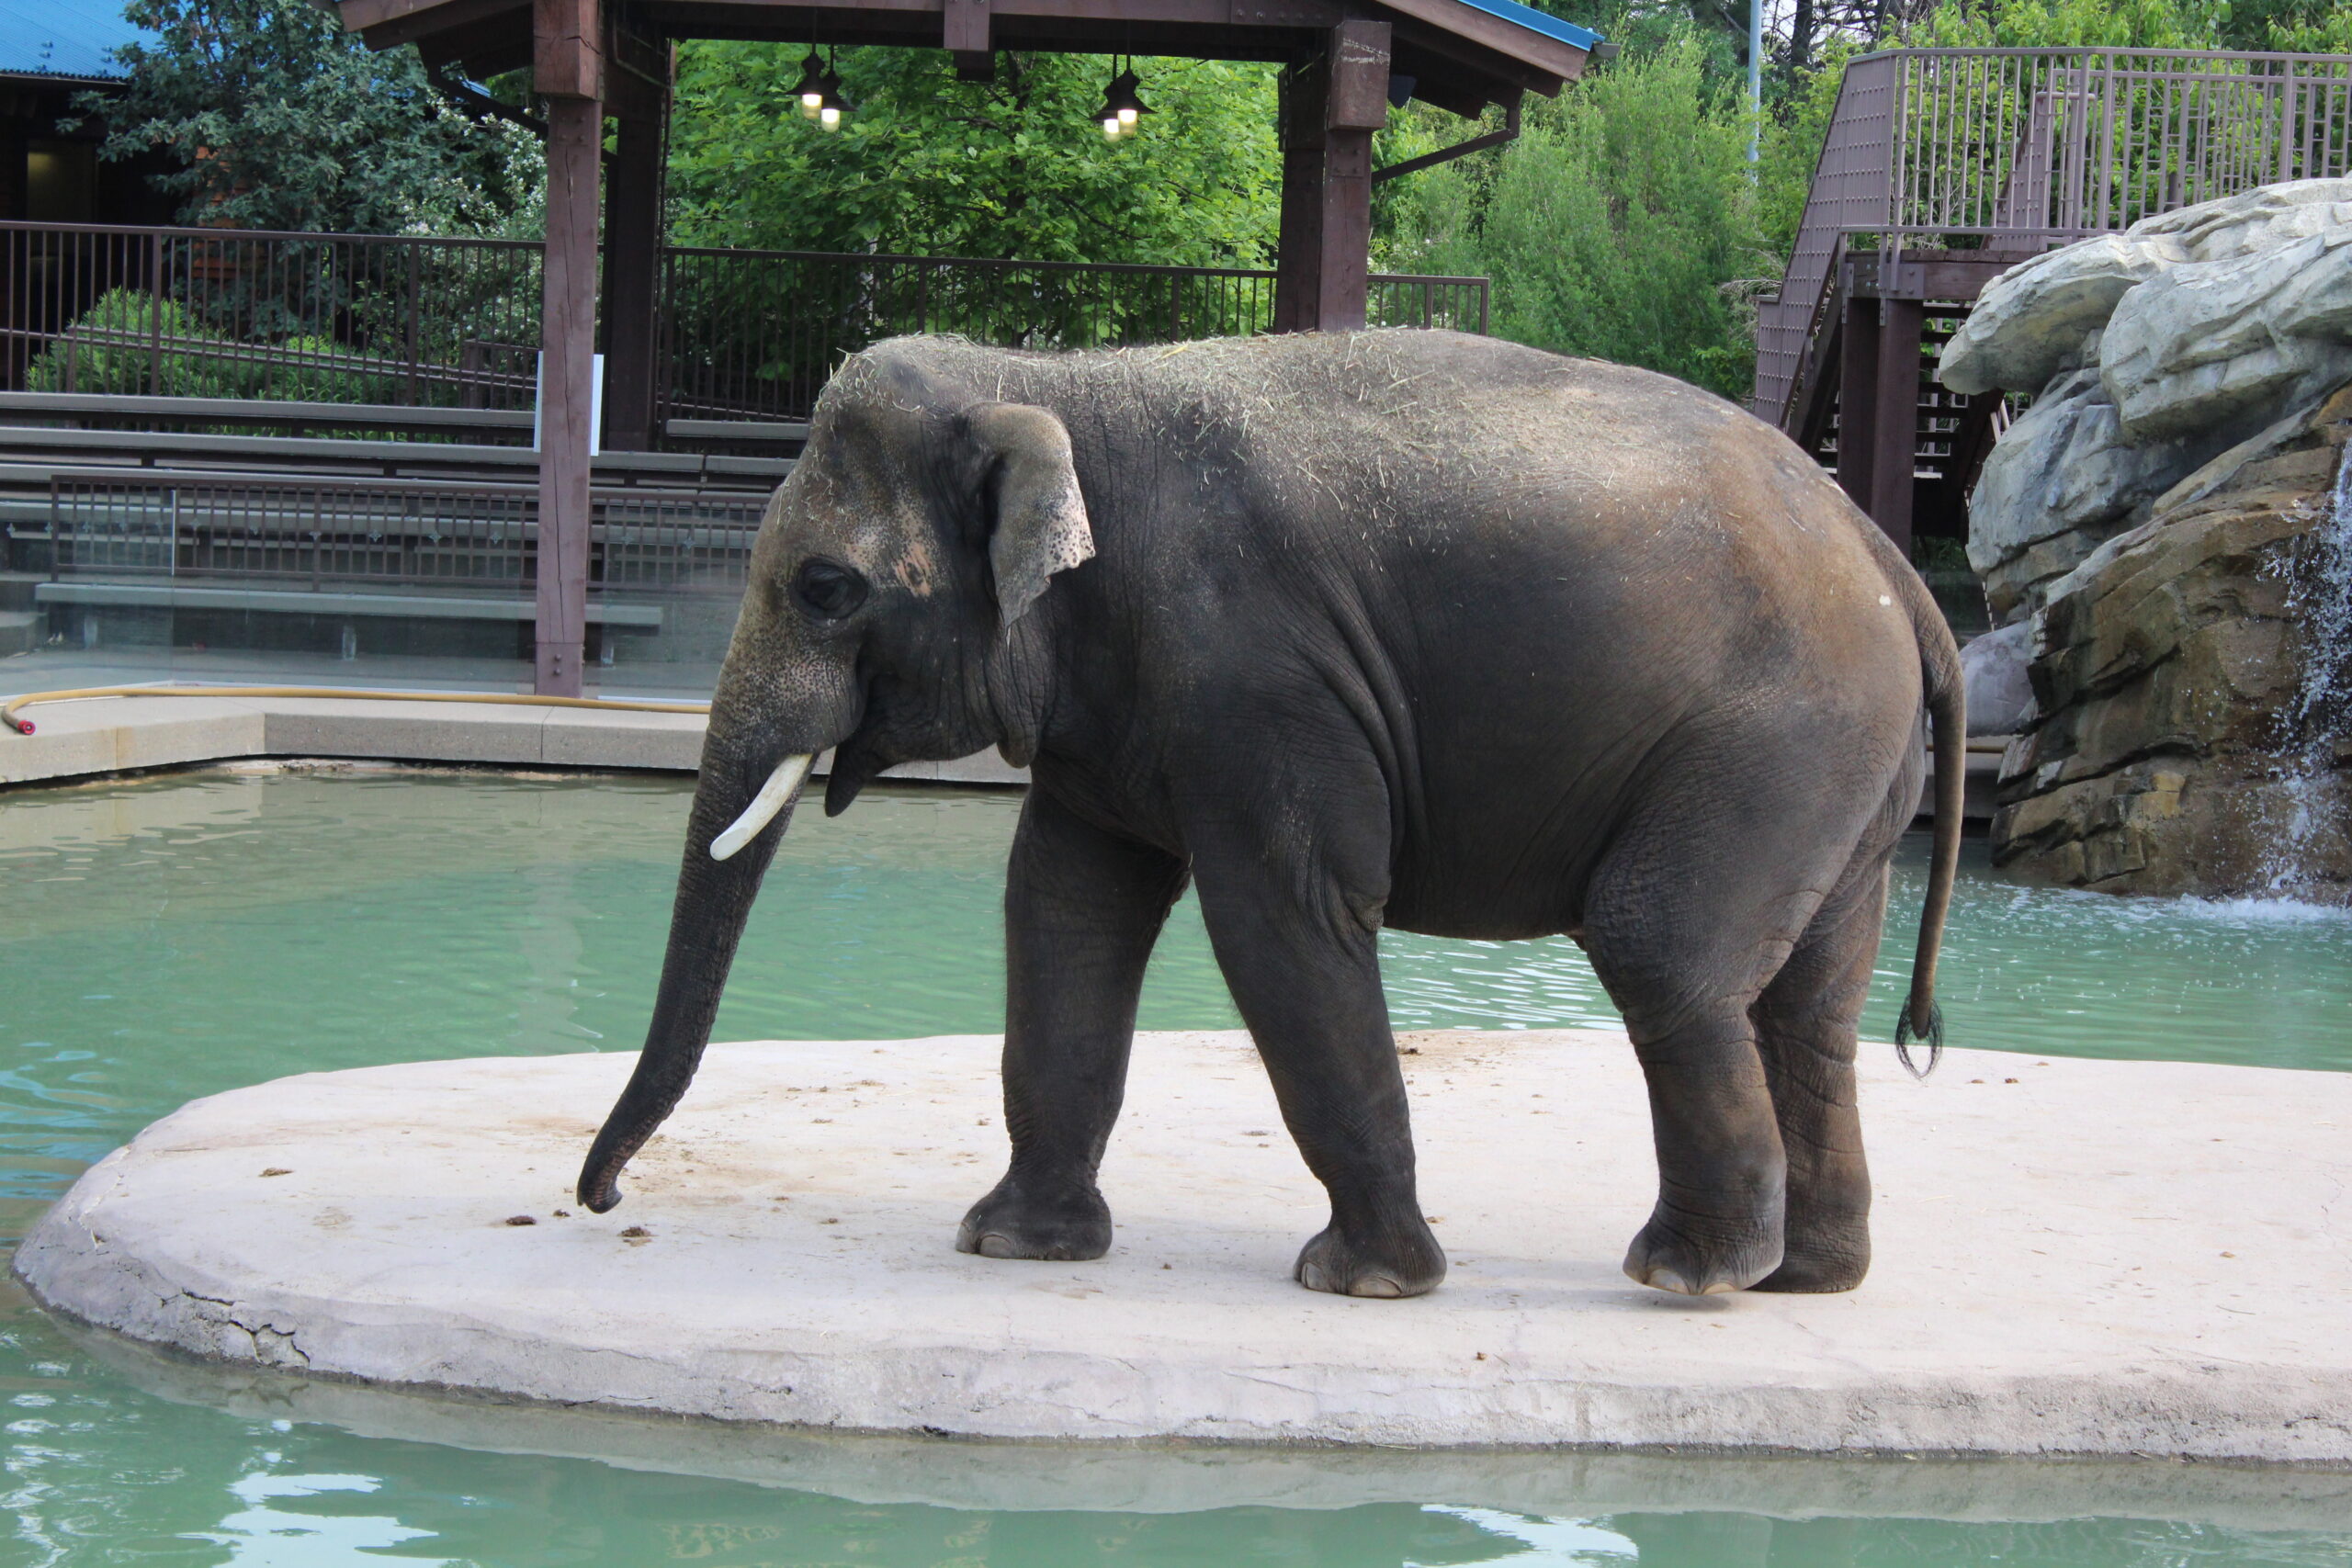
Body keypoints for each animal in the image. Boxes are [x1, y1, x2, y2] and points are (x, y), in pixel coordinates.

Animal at [578, 329, 1956, 1297]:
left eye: (825, 587)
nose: (601, 1203)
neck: (1048, 382)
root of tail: (1890, 558)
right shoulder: (1118, 702)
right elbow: (1065, 907)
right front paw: (1012, 1246)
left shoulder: (1257, 675)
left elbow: (1282, 919)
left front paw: (1366, 1283)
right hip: (1848, 774)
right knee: (1808, 1003)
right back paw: (1806, 1276)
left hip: (1780, 735)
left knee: (1661, 946)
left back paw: (1686, 1273)